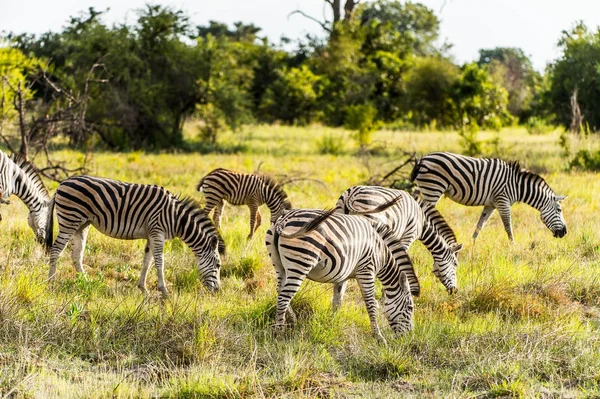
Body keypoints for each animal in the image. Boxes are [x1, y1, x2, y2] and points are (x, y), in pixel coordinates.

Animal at [47, 176, 225, 296]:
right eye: (218, 265)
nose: (217, 291)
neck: (176, 218)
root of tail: (63, 182)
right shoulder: (157, 233)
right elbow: (159, 262)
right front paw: (164, 291)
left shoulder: (151, 235)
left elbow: (147, 261)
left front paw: (143, 288)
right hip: (69, 221)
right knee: (55, 250)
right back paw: (51, 282)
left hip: (82, 225)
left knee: (76, 255)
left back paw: (85, 281)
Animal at [264, 206, 414, 344]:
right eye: (410, 308)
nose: (408, 338)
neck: (381, 252)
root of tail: (284, 219)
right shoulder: (366, 269)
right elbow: (371, 303)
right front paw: (378, 337)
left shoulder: (343, 275)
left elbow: (337, 301)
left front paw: (331, 324)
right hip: (300, 262)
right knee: (284, 297)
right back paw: (279, 333)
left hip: (279, 265)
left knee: (280, 290)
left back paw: (291, 320)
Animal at [412, 152, 568, 241]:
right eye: (559, 210)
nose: (565, 233)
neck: (517, 186)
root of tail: (423, 159)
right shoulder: (503, 201)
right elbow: (508, 227)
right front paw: (513, 246)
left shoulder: (490, 205)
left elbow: (480, 225)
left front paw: (472, 245)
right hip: (433, 188)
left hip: (428, 189)